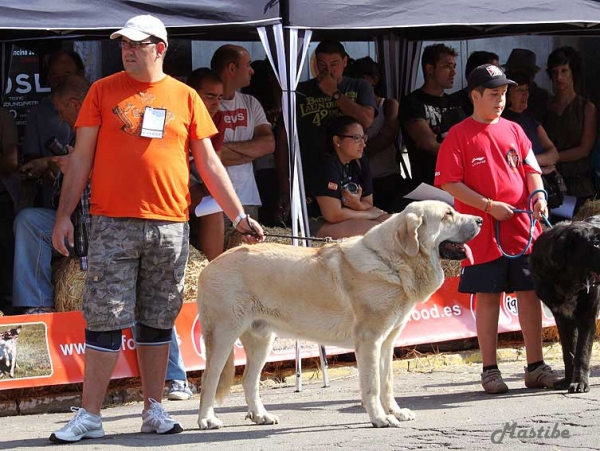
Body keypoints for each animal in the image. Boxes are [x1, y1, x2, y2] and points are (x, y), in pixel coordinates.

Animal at [197, 201, 482, 430]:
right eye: (447, 214)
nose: (480, 220)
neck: (392, 261)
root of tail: (208, 266)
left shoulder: (386, 343)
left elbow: (387, 382)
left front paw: (395, 412)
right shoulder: (369, 341)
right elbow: (372, 385)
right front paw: (380, 418)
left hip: (261, 341)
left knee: (248, 381)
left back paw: (260, 416)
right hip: (223, 337)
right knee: (209, 379)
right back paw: (206, 420)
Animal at [528, 217, 600, 394]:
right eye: (596, 243)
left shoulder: (588, 315)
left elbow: (582, 352)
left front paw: (580, 382)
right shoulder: (562, 318)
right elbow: (568, 352)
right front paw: (568, 381)